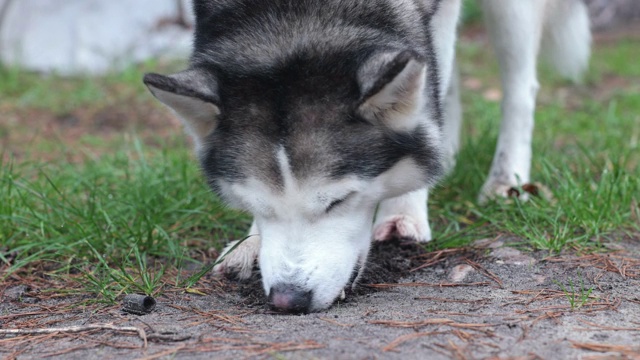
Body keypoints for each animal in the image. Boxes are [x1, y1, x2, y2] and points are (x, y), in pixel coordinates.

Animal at [145, 0, 592, 312]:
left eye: (339, 201)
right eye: (252, 203)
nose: (289, 300)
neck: (298, 17)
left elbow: (429, 85)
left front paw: (405, 211)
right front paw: (252, 240)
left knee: (520, 87)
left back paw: (505, 179)